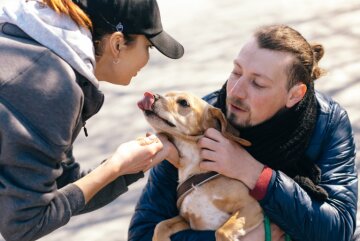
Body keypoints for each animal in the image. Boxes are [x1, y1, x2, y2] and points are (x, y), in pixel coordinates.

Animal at [136, 91, 262, 240]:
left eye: (184, 102)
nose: (152, 95)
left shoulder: (251, 206)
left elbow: (221, 232)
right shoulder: (186, 220)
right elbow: (161, 225)